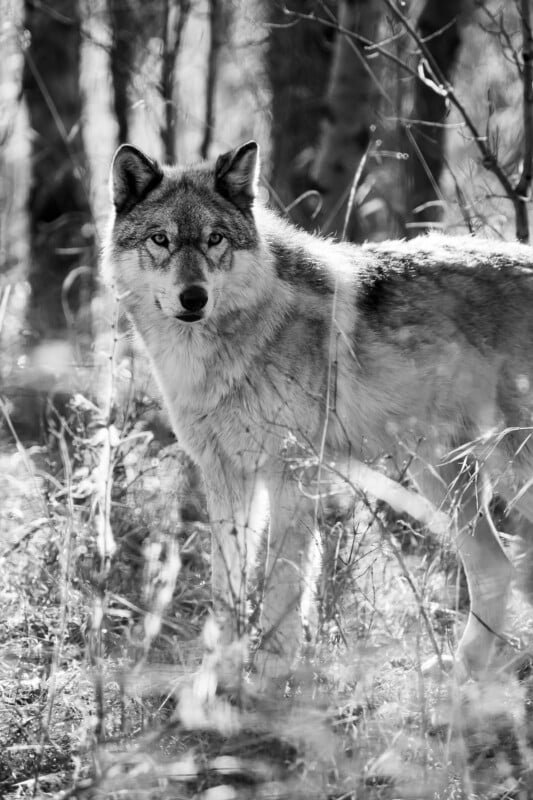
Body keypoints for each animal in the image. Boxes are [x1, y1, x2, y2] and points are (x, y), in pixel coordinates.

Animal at [104, 139, 533, 683]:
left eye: (214, 239)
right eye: (160, 239)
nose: (193, 297)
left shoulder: (292, 473)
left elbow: (283, 582)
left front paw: (269, 671)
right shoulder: (225, 476)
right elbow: (227, 585)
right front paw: (218, 674)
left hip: (497, 469)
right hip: (440, 474)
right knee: (495, 567)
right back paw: (461, 668)